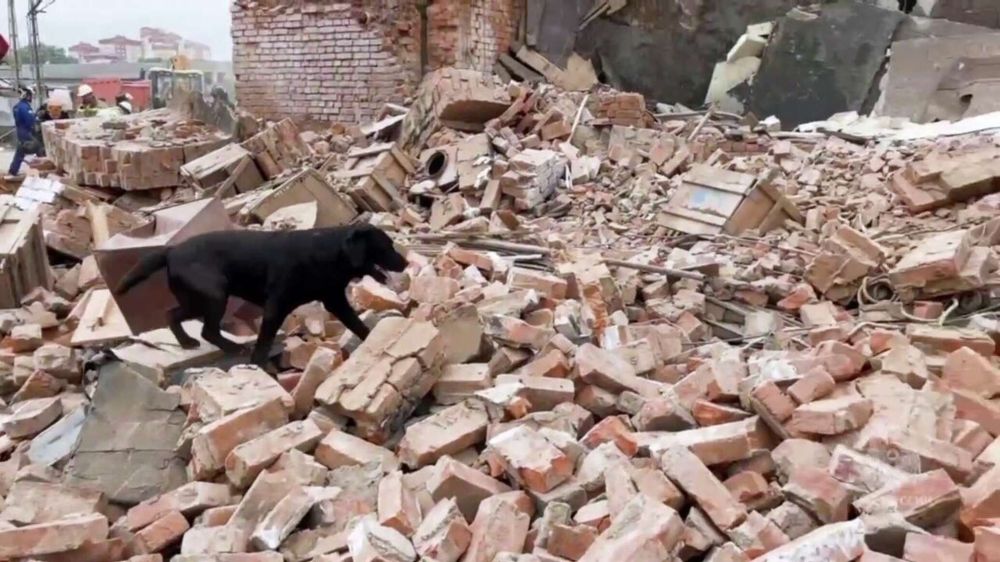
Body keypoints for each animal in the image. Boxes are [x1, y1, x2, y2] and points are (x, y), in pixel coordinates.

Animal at [115, 223, 409, 368]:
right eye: (387, 246)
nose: (405, 262)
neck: (328, 253)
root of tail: (171, 251)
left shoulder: (335, 300)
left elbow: (358, 326)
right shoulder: (275, 307)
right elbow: (264, 343)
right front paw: (259, 367)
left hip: (197, 299)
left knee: (172, 314)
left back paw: (187, 342)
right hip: (214, 295)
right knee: (207, 329)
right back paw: (232, 347)